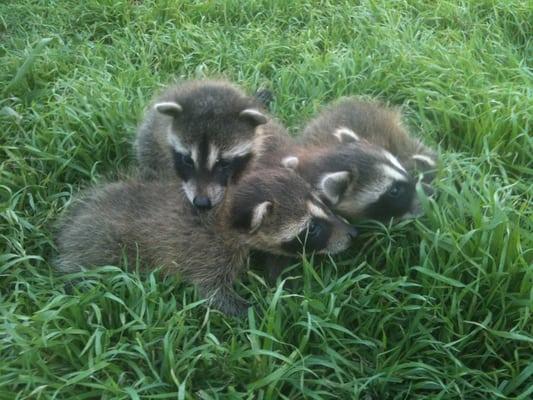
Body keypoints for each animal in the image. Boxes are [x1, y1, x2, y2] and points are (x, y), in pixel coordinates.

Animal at [55, 168, 358, 316]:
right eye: (312, 229)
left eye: (322, 204)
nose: (353, 234)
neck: (224, 211)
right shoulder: (207, 251)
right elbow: (213, 292)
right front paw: (254, 311)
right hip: (100, 246)